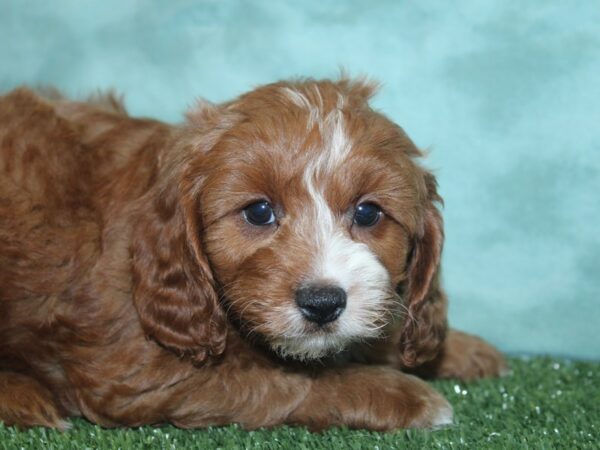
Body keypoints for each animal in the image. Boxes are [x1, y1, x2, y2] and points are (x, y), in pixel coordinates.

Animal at [0, 79, 506, 430]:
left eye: (368, 213)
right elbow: (282, 381)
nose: (323, 303)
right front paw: (402, 394)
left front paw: (457, 347)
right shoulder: (134, 371)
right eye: (259, 212)